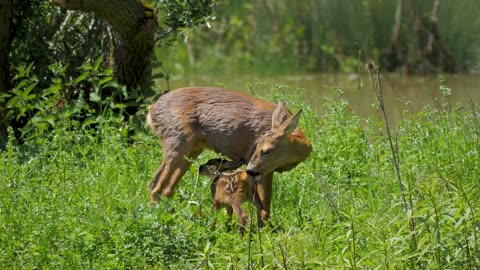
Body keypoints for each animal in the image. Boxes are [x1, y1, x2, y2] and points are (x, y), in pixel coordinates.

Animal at [146, 87, 312, 218]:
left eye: (266, 151)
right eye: (259, 147)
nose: (249, 169)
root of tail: (151, 109)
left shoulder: (267, 170)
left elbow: (266, 200)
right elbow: (264, 201)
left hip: (191, 150)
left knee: (161, 186)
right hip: (178, 142)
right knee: (157, 188)